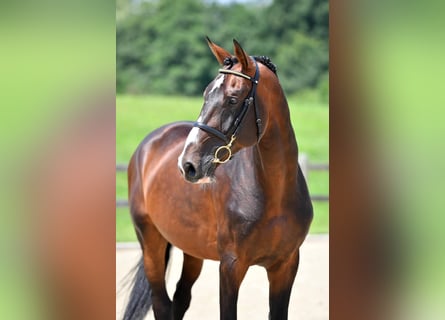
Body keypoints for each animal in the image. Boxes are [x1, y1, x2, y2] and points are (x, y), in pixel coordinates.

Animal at [123, 38, 312, 320]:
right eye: (205, 95)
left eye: (233, 99)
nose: (187, 164)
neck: (274, 193)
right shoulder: (231, 266)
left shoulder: (286, 265)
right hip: (150, 242)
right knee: (161, 303)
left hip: (191, 250)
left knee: (180, 298)